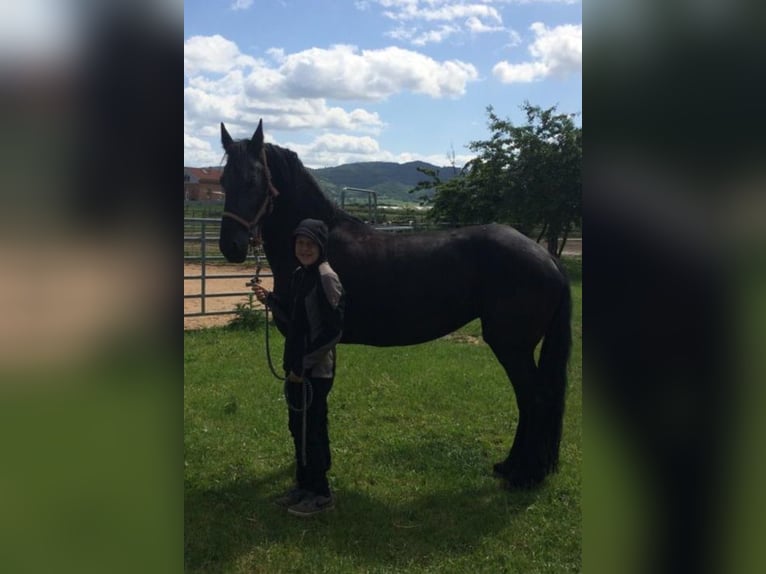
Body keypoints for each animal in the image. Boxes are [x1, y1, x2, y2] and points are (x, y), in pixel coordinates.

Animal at [218, 119, 572, 488]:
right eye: (223, 181)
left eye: (254, 180)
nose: (231, 246)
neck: (317, 248)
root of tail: (546, 257)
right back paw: (513, 466)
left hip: (511, 346)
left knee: (535, 399)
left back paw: (525, 474)